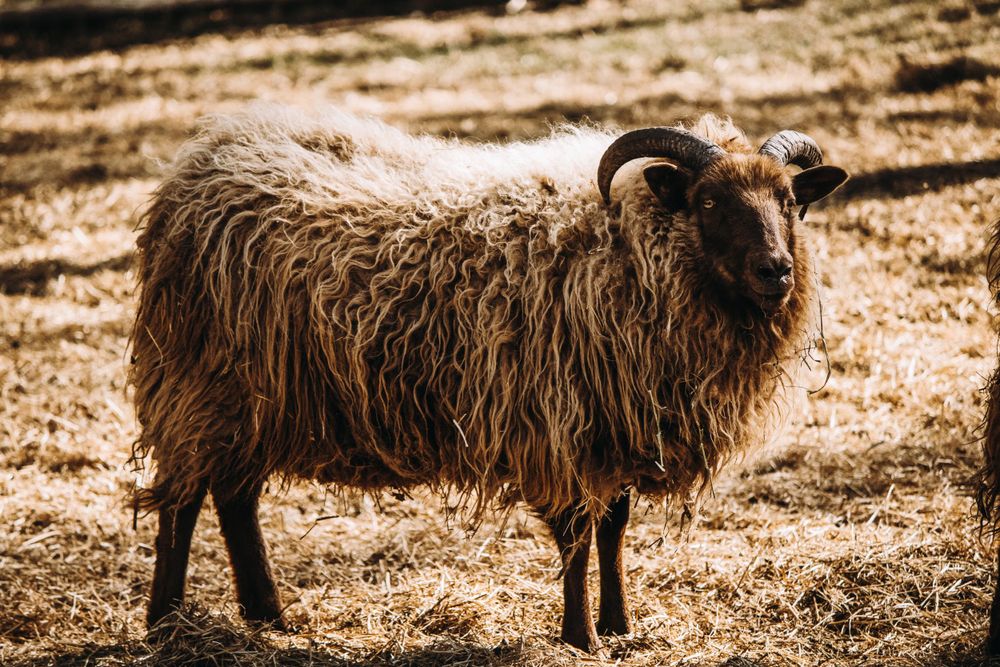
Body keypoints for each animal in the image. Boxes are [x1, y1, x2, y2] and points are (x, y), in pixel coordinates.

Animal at [129, 105, 849, 653]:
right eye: (708, 200)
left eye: (789, 201)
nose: (776, 271)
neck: (626, 248)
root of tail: (204, 159)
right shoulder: (558, 425)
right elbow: (577, 537)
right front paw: (581, 637)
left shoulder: (620, 424)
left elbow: (614, 529)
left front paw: (620, 626)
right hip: (201, 383)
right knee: (182, 500)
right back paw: (166, 622)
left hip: (254, 398)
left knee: (234, 496)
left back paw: (268, 617)